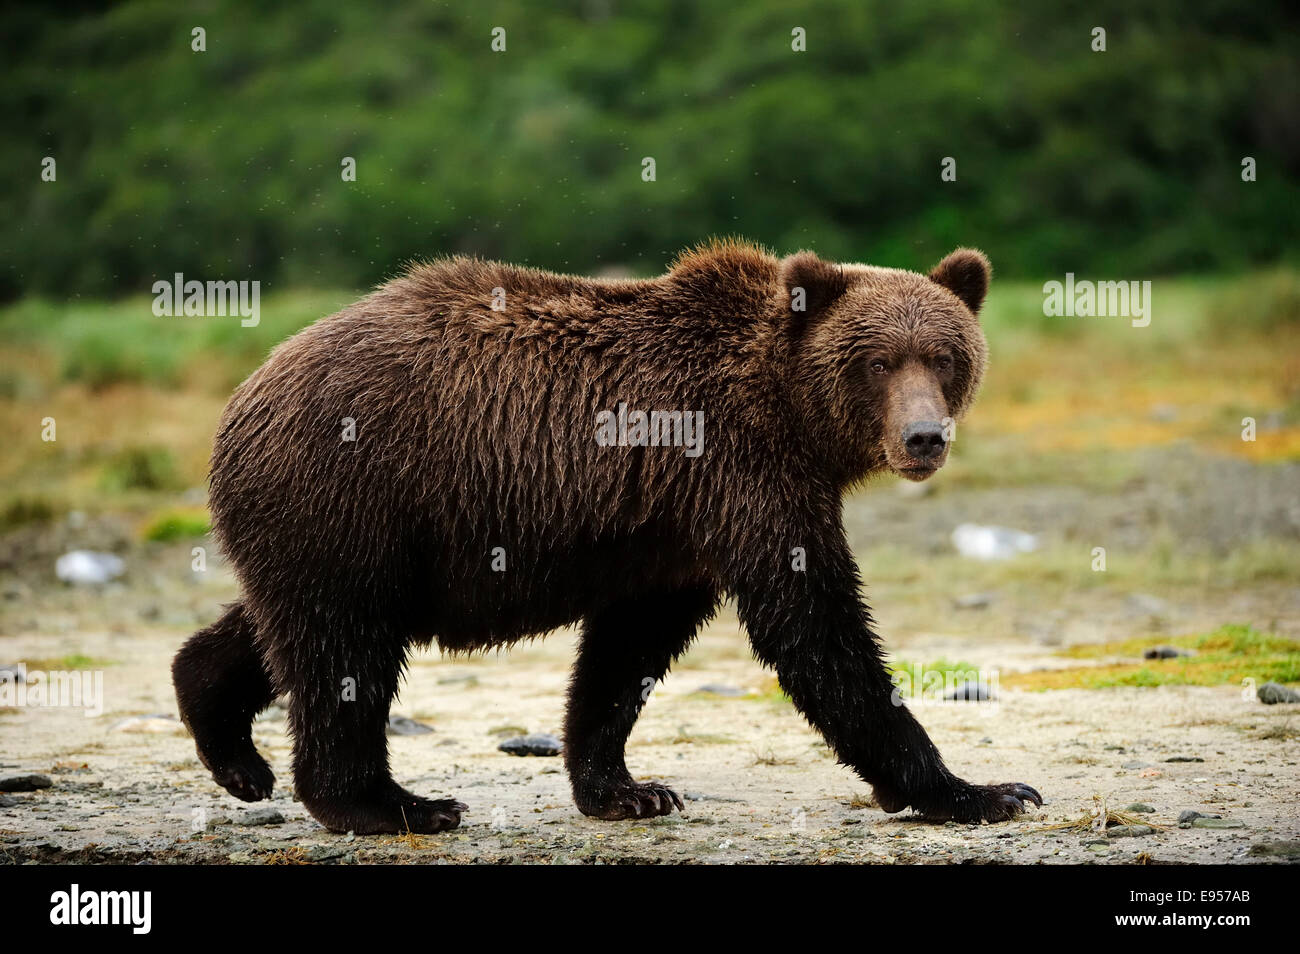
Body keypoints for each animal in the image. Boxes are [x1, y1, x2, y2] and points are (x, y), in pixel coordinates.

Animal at [172, 239, 1041, 834]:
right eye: (879, 360)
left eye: (945, 355)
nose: (924, 437)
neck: (792, 414)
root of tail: (243, 395)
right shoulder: (740, 471)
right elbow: (815, 628)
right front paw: (982, 789)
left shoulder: (673, 526)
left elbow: (629, 649)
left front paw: (625, 788)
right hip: (357, 490)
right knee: (344, 646)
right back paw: (394, 804)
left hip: (341, 526)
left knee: (290, 624)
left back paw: (233, 747)